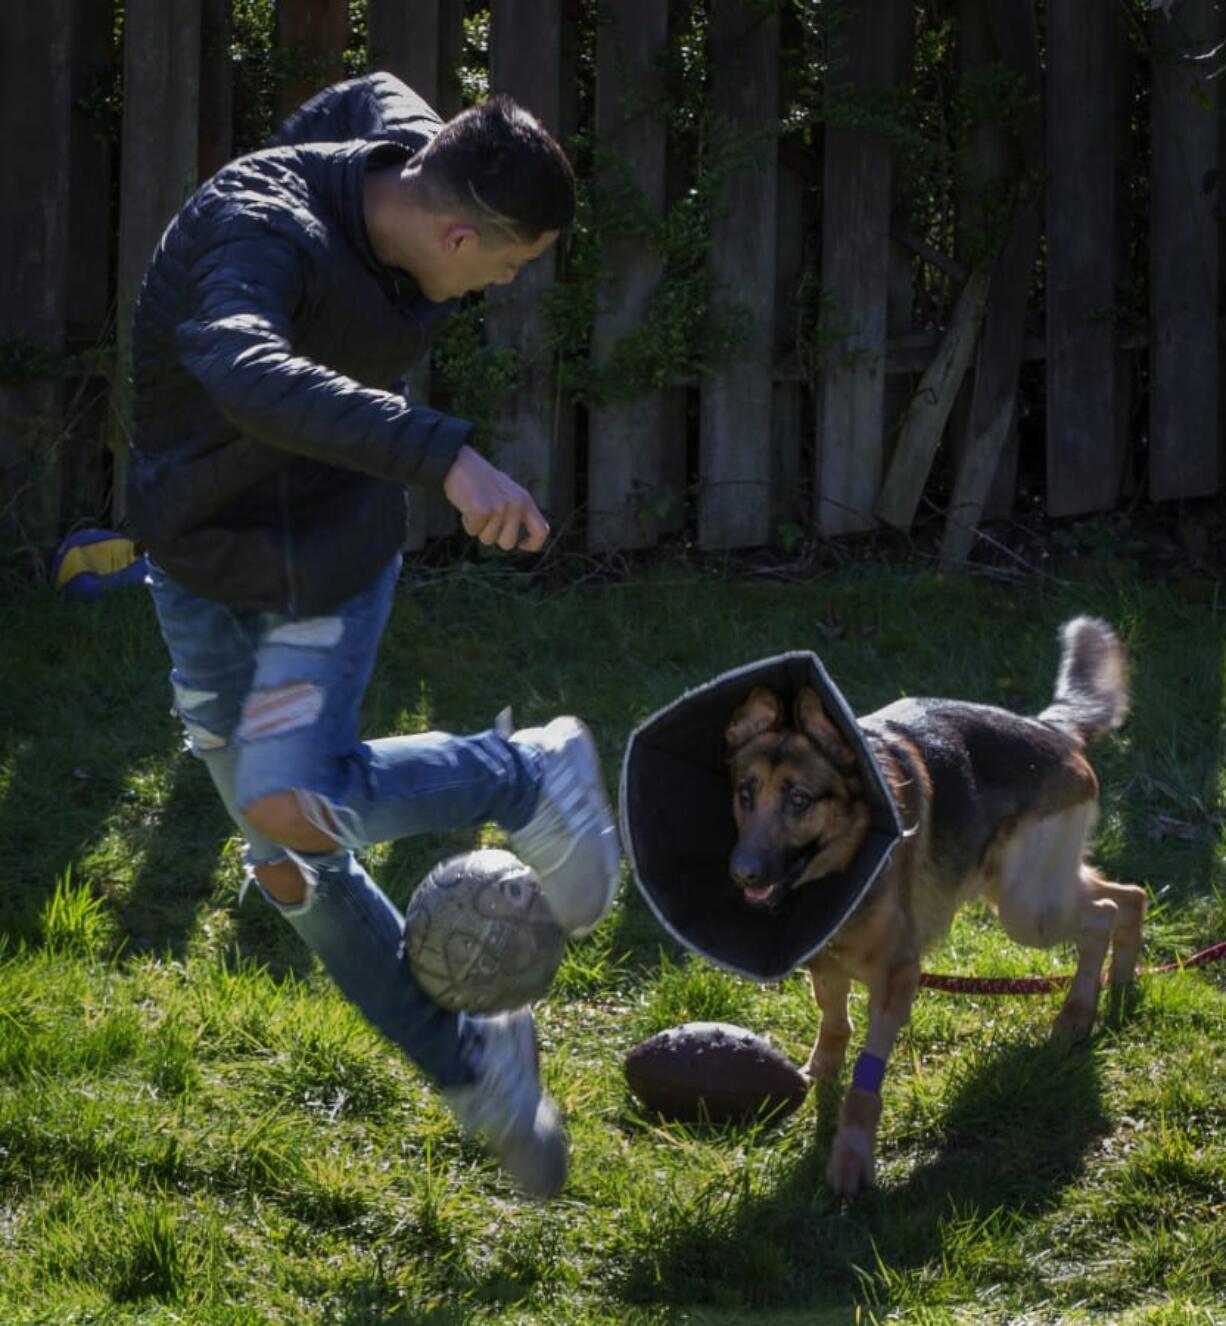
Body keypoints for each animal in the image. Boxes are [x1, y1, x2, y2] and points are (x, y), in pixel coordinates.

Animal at [721, 615, 1145, 1198]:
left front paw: (851, 1159)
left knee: (1101, 912)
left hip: (1027, 909)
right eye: (745, 793)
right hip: (1027, 888)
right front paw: (819, 1073)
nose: (743, 874)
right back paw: (1122, 979)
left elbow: (865, 1081)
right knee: (1127, 895)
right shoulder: (825, 961)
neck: (846, 859)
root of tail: (1053, 730)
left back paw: (1078, 1014)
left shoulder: (896, 980)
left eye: (799, 799)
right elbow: (833, 1023)